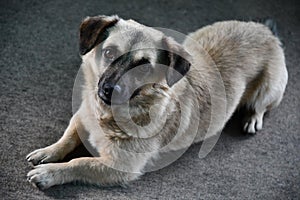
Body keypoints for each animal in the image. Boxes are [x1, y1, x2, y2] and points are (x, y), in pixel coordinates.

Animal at [26, 14, 288, 188]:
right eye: (109, 53)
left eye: (143, 67)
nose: (111, 90)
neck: (106, 115)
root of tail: (265, 30)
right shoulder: (81, 118)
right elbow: (68, 138)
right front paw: (48, 152)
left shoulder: (121, 166)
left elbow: (80, 162)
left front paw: (49, 173)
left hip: (268, 89)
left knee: (261, 106)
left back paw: (253, 118)